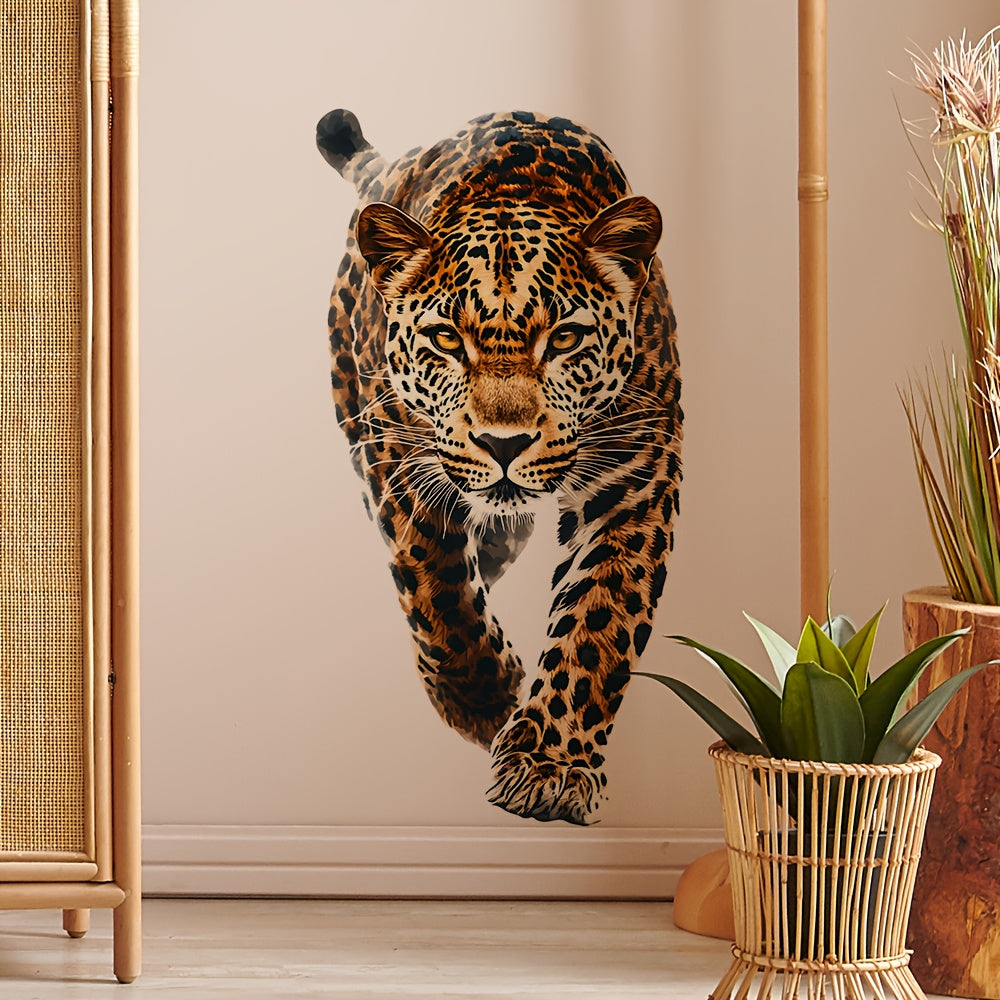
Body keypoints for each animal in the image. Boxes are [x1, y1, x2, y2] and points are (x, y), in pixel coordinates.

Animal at [316, 109, 682, 825]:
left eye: (564, 338)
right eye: (446, 339)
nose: (503, 444)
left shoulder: (636, 475)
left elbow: (600, 615)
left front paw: (550, 767)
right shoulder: (398, 455)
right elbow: (437, 589)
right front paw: (483, 702)